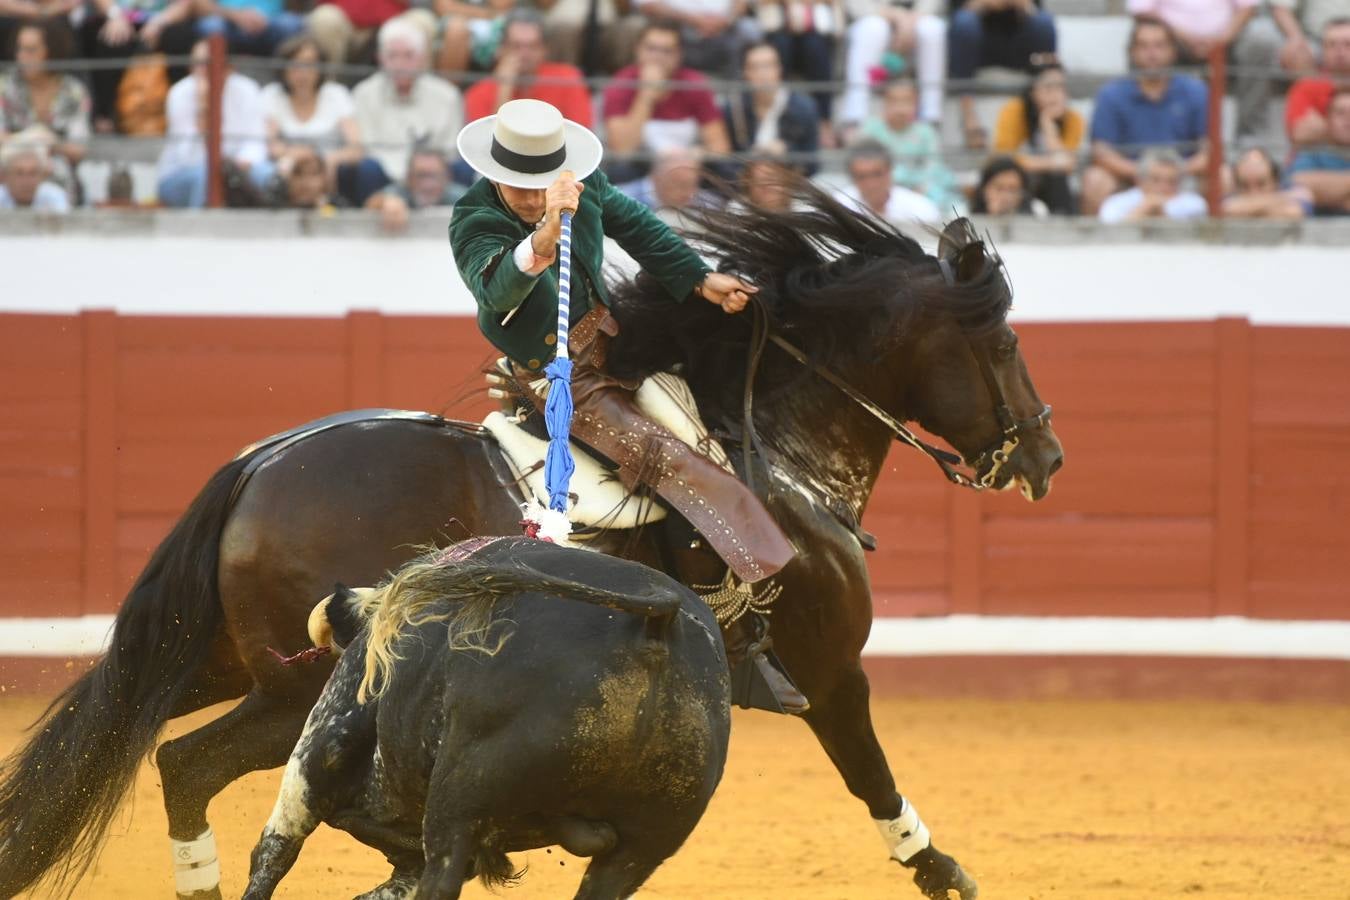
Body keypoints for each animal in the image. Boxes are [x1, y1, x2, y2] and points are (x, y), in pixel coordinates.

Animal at [243, 539, 729, 900]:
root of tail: (659, 625)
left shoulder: (321, 743)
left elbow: (274, 851)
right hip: (647, 841)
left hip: (457, 803)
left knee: (439, 880)